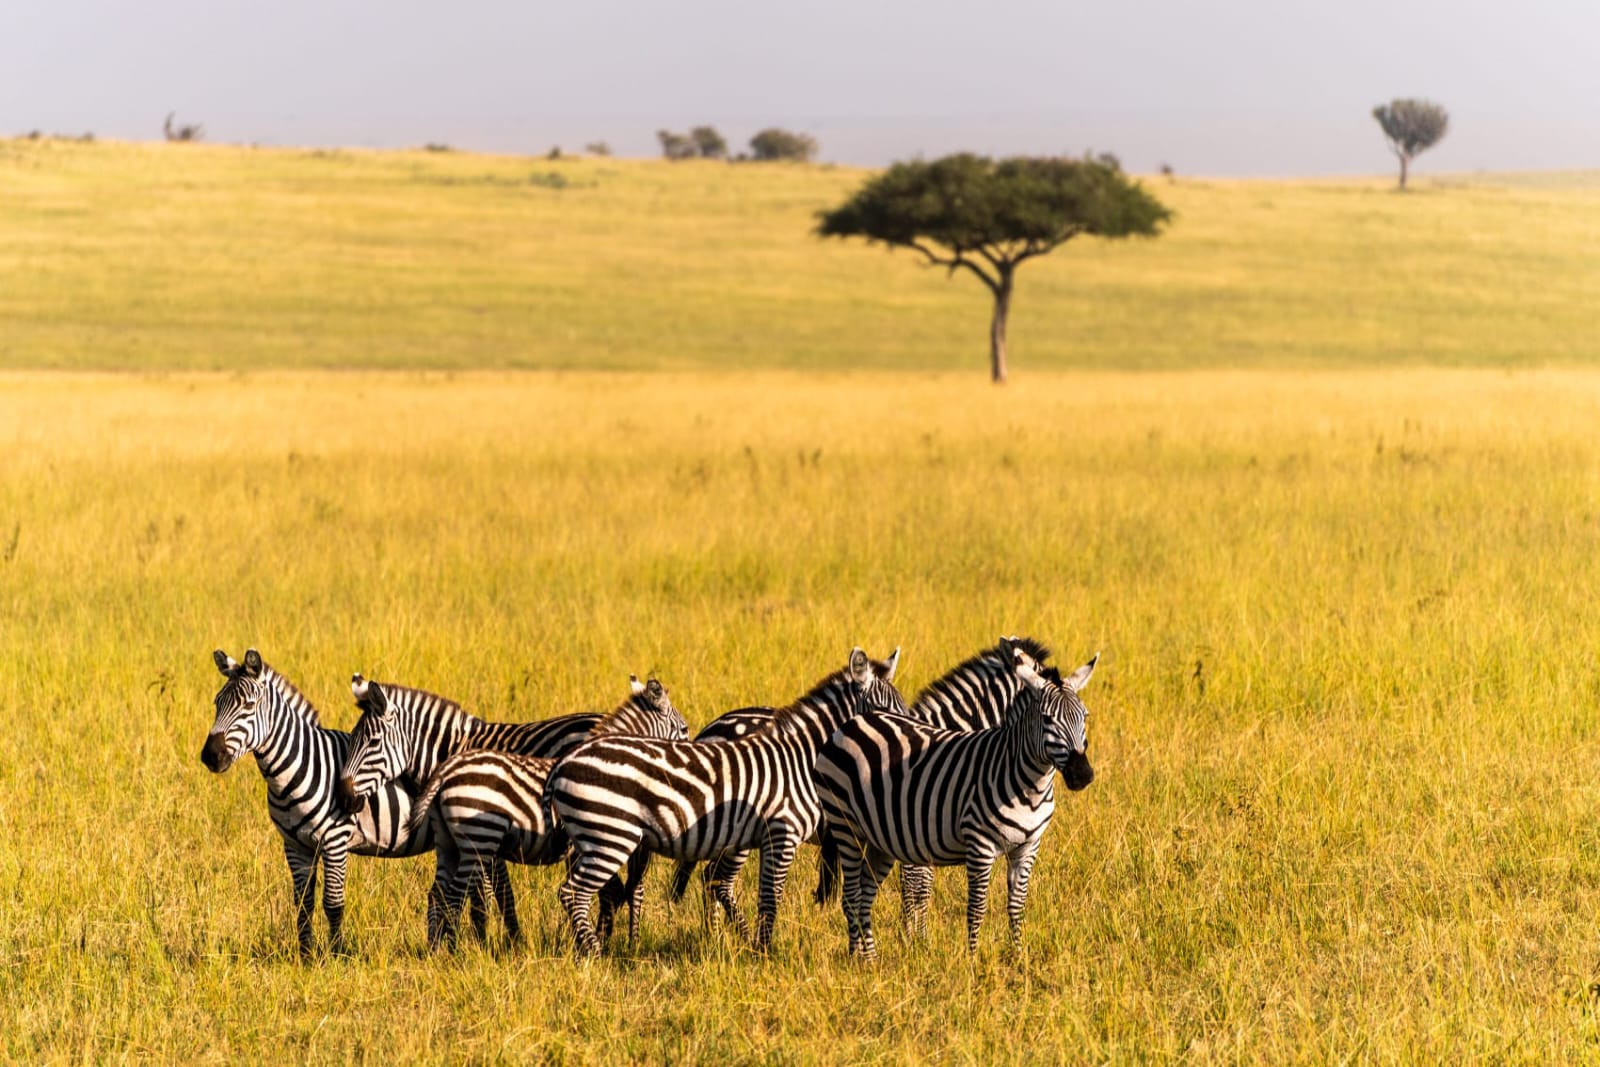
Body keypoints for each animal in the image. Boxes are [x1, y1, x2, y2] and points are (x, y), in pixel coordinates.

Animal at [200, 648, 482, 958]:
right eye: (216, 703)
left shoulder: (335, 841)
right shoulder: (295, 846)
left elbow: (333, 904)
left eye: (248, 706)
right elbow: (304, 904)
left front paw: (336, 955)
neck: (297, 767)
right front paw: (306, 955)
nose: (210, 756)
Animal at [547, 646, 906, 957]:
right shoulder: (783, 833)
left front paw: (758, 947)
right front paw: (765, 953)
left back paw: (585, 949)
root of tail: (564, 763)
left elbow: (765, 896)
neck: (800, 758)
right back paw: (593, 952)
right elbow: (771, 898)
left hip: (593, 839)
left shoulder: (767, 837)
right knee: (574, 892)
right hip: (610, 837)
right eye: (889, 711)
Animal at [816, 640, 1098, 960]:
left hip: (878, 838)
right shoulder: (974, 845)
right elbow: (971, 906)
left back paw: (871, 959)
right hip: (846, 827)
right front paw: (964, 957)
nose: (1082, 774)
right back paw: (858, 959)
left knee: (864, 894)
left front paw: (1018, 957)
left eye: (1085, 717)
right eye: (1048, 719)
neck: (1030, 786)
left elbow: (1016, 907)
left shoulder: (1027, 846)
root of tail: (851, 724)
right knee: (851, 895)